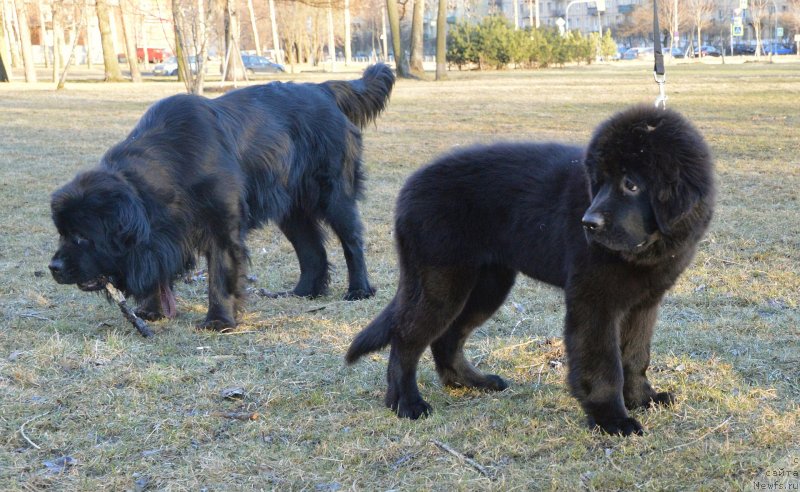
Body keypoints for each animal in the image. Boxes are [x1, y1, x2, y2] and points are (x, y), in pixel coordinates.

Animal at [49, 63, 394, 328]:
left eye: (82, 237)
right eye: (61, 234)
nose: (53, 267)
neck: (170, 168)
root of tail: (324, 89)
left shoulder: (222, 226)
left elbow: (221, 273)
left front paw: (219, 320)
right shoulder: (162, 233)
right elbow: (158, 271)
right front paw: (152, 311)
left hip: (334, 194)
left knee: (352, 241)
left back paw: (359, 289)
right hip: (291, 208)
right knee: (311, 250)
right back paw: (303, 293)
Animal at [346, 105, 716, 436]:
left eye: (631, 184)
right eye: (599, 183)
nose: (588, 224)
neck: (645, 250)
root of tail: (409, 187)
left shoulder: (644, 303)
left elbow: (636, 356)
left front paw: (643, 398)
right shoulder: (594, 301)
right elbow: (604, 364)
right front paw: (611, 419)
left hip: (487, 285)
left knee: (447, 338)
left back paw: (472, 382)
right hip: (441, 282)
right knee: (406, 338)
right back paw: (405, 404)